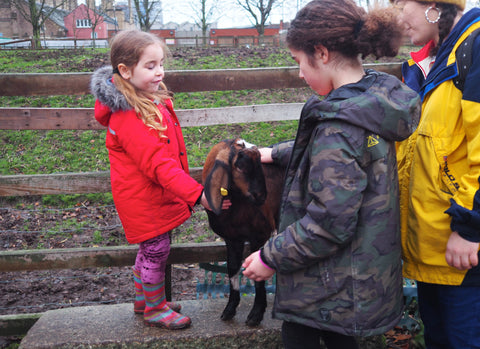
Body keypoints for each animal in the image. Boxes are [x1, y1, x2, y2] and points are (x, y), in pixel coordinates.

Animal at [201, 137, 284, 324]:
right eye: (239, 166)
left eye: (259, 163)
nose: (261, 197)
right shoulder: (231, 239)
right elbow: (233, 268)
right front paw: (229, 309)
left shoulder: (260, 235)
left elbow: (257, 275)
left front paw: (256, 314)